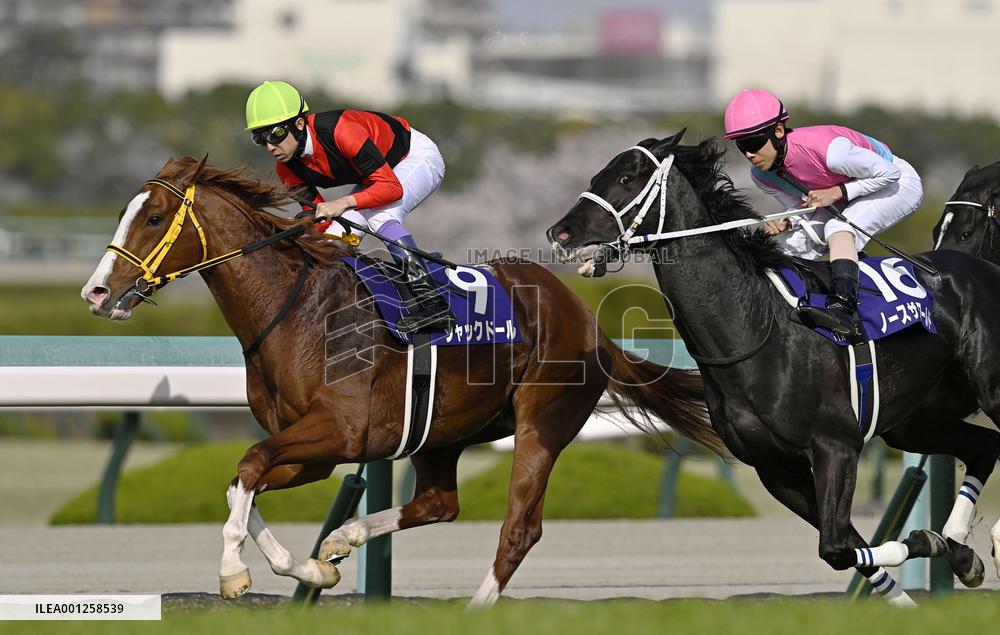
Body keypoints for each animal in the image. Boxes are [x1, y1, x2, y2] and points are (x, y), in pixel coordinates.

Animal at [80, 155, 721, 605]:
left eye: (154, 218)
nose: (96, 292)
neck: (296, 311)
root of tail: (586, 319)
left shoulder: (340, 428)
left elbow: (249, 465)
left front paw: (233, 572)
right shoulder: (316, 450)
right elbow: (244, 479)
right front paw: (314, 566)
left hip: (541, 426)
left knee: (520, 527)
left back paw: (473, 609)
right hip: (444, 430)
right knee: (439, 502)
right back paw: (347, 537)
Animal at [546, 131, 1000, 605]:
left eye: (627, 177)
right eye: (599, 173)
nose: (560, 232)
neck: (757, 327)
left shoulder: (836, 446)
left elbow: (838, 545)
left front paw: (925, 543)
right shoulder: (774, 469)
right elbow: (845, 546)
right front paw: (920, 581)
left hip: (989, 392)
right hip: (917, 420)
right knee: (985, 447)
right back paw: (960, 547)